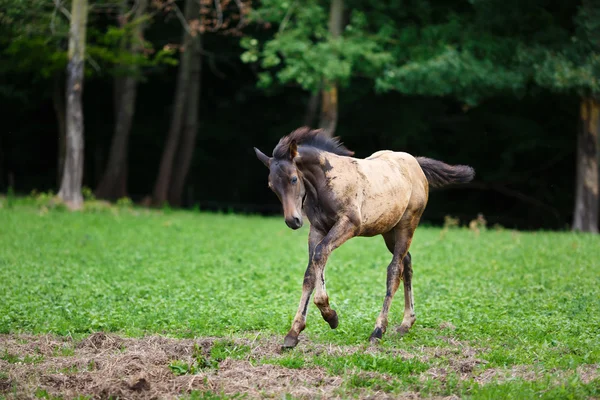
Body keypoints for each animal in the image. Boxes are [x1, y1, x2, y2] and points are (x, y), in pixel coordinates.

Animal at [255, 127, 476, 346]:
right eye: (271, 186)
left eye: (293, 178)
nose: (293, 221)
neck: (324, 184)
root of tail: (415, 162)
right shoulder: (316, 229)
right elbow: (310, 273)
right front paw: (294, 332)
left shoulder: (349, 225)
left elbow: (320, 254)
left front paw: (330, 316)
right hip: (389, 230)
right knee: (407, 264)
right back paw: (406, 324)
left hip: (407, 224)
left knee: (394, 270)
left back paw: (378, 330)